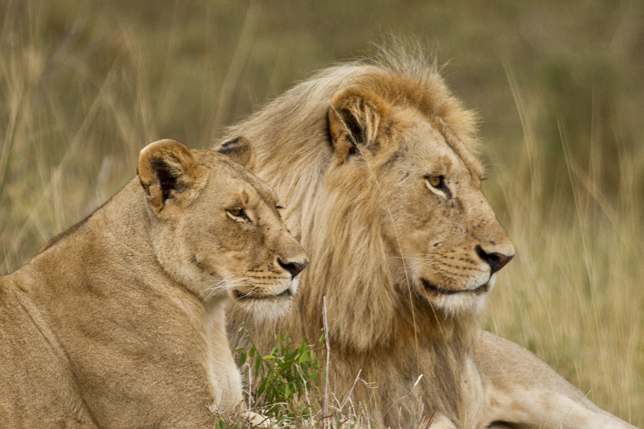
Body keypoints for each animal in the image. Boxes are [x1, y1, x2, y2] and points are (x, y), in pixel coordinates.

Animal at [0, 139, 306, 426]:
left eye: (278, 208)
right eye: (237, 212)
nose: (300, 265)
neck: (207, 315)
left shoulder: (235, 409)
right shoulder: (180, 418)